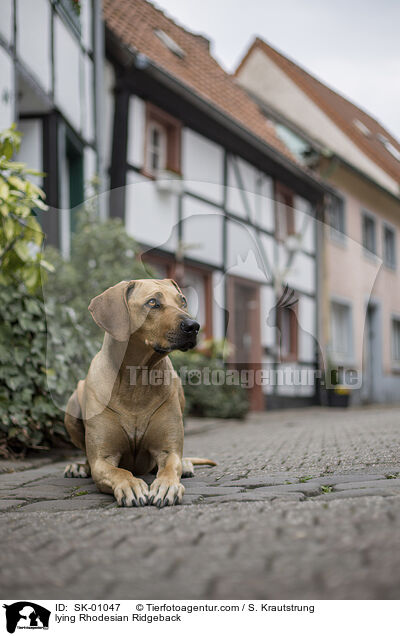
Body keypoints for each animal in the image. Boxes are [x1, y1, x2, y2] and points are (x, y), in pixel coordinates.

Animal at [63, 278, 216, 506]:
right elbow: (118, 471)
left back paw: (187, 465)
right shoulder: (102, 460)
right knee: (88, 458)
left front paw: (167, 486)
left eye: (183, 301)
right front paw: (131, 485)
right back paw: (79, 466)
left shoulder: (168, 450)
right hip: (72, 405)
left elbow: (171, 465)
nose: (194, 326)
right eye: (152, 303)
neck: (136, 381)